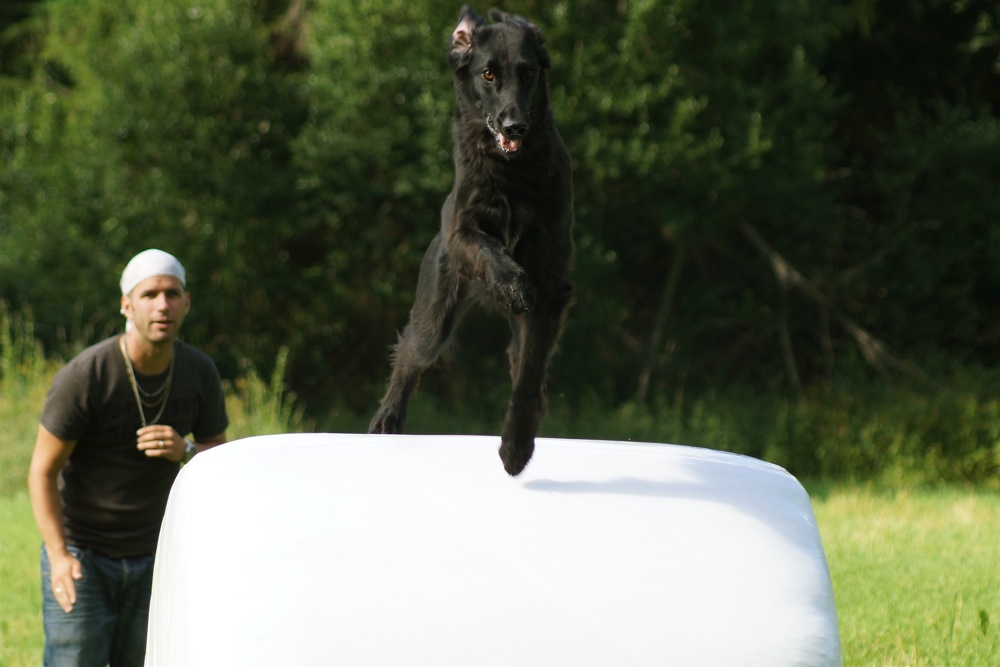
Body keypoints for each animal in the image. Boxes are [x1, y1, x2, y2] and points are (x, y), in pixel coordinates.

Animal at [368, 6, 574, 476]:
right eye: (488, 74)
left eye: (528, 73)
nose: (516, 125)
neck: (514, 171)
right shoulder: (462, 227)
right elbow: (486, 245)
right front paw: (513, 283)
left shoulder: (552, 286)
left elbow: (529, 374)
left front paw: (516, 446)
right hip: (436, 312)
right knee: (410, 351)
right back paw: (387, 416)